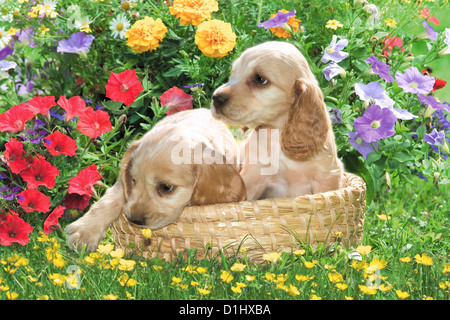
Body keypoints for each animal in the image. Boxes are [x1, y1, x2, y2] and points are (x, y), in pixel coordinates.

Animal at [66, 109, 246, 251]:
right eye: (133, 180)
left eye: (166, 188)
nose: (134, 220)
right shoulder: (122, 185)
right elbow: (108, 200)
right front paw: (84, 232)